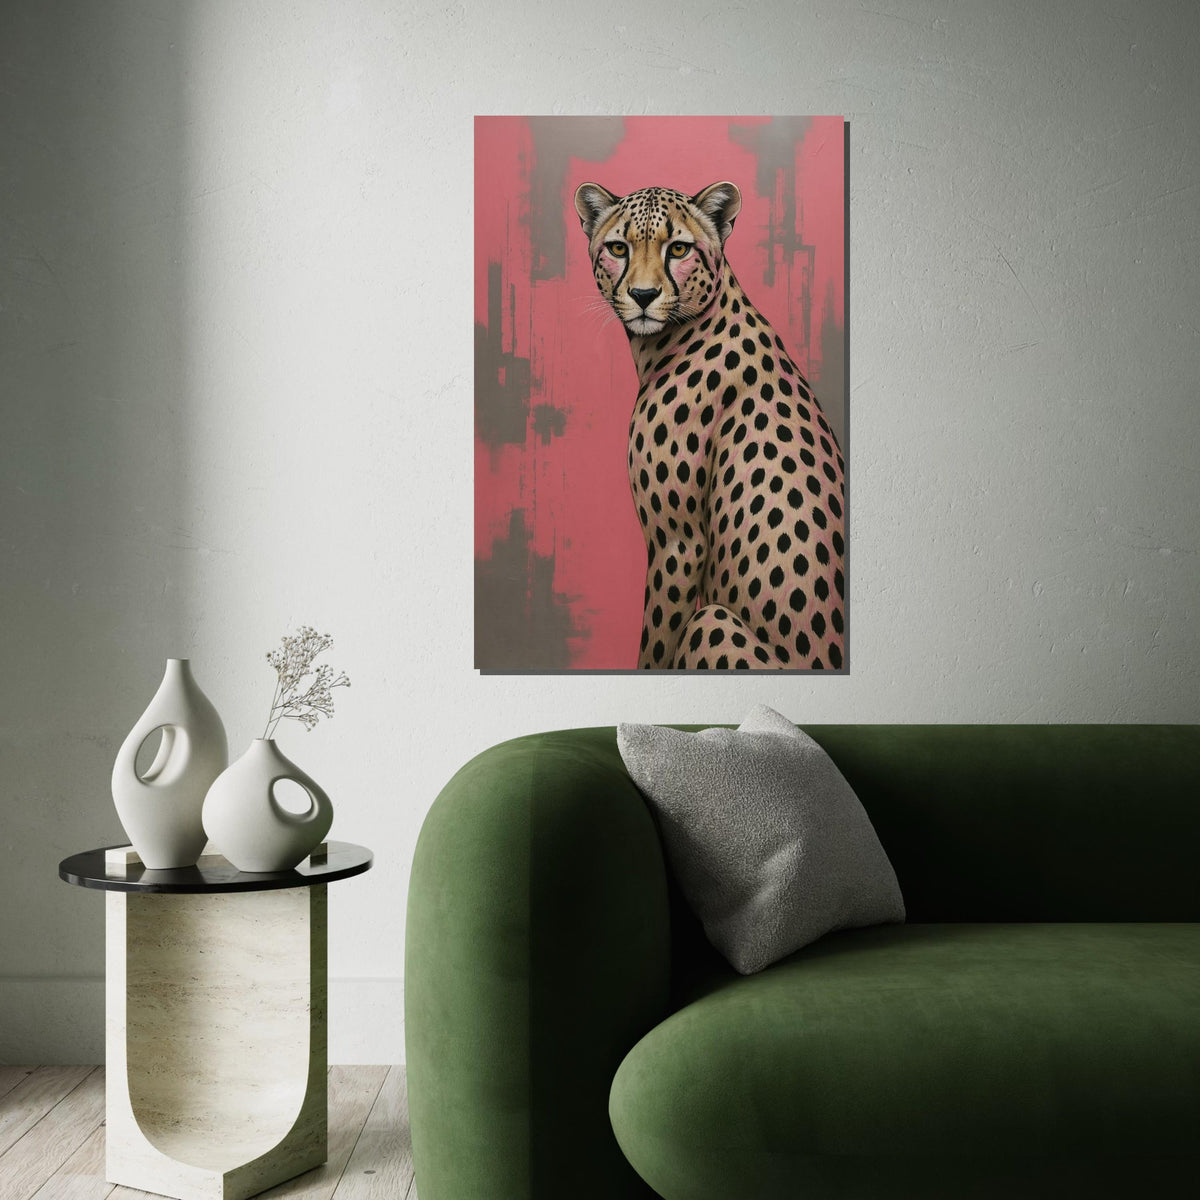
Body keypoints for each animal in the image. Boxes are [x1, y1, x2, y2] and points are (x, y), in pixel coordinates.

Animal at [573, 179, 846, 670]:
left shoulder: (678, 543)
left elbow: (656, 648)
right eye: (619, 248)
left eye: (679, 248)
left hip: (711, 621)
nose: (643, 296)